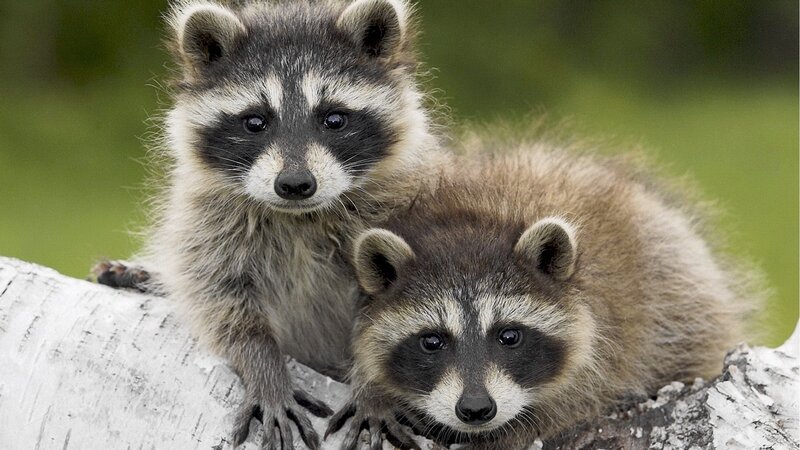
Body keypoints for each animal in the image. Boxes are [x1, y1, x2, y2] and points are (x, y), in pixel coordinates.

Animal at [94, 0, 447, 448]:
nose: (295, 184)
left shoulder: (408, 208)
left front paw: (374, 388)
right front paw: (263, 365)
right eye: (255, 121)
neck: (298, 216)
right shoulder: (207, 219)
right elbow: (219, 297)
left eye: (334, 119)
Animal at [327, 147, 757, 449]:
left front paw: (508, 435)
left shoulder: (610, 330)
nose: (476, 410)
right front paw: (373, 390)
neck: (473, 220)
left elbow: (578, 396)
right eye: (431, 341)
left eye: (509, 336)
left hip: (681, 287)